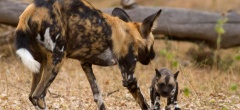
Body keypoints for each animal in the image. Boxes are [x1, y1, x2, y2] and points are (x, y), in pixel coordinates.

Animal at [14, 0, 161, 109]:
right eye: (153, 44)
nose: (153, 56)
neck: (130, 33)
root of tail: (29, 11)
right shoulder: (129, 78)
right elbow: (143, 102)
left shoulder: (86, 64)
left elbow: (98, 96)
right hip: (57, 59)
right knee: (38, 96)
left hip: (39, 64)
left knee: (32, 96)